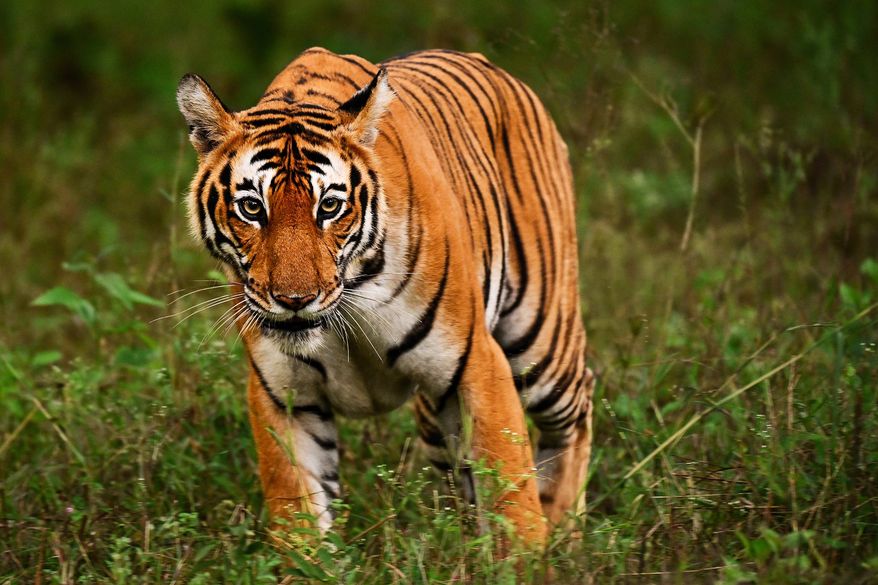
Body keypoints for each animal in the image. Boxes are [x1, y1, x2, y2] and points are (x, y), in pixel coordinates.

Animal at [176, 47, 595, 546]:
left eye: (329, 207)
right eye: (252, 208)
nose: (295, 299)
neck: (350, 296)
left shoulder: (476, 362)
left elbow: (512, 499)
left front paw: (528, 555)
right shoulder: (284, 393)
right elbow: (297, 511)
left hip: (542, 340)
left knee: (577, 407)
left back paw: (566, 530)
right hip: (438, 420)